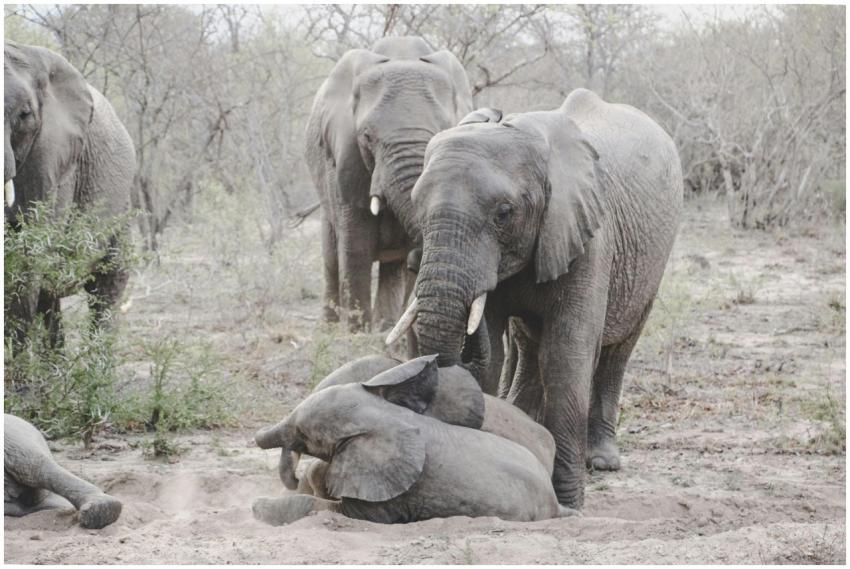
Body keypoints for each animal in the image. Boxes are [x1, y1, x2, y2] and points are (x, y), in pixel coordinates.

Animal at [4, 41, 135, 346]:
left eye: (24, 115)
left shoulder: (57, 159)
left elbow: (29, 251)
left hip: (122, 210)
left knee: (106, 290)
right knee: (48, 298)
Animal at [252, 355, 567, 525]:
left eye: (303, 433)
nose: (293, 478)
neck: (391, 417)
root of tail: (556, 503)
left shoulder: (392, 492)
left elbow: (332, 510)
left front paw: (258, 508)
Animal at [305, 36, 473, 333]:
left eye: (444, 130)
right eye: (367, 136)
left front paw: (382, 330)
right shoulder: (345, 161)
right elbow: (355, 248)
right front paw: (357, 334)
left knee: (392, 268)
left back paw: (384, 324)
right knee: (331, 259)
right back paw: (330, 328)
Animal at [387, 88, 683, 509]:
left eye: (503, 214)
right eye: (417, 206)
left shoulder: (590, 234)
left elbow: (566, 353)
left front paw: (567, 502)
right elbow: (497, 355)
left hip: (653, 261)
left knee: (617, 349)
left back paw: (602, 460)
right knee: (528, 346)